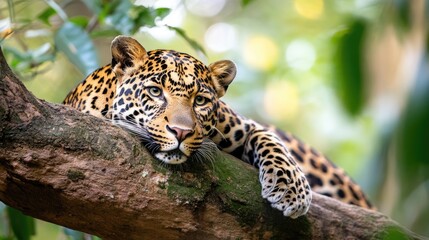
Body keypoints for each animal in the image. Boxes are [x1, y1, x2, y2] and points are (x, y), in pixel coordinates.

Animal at [61, 36, 372, 219]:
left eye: (200, 100)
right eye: (155, 92)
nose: (181, 132)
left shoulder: (243, 125)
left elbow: (271, 140)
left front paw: (291, 189)